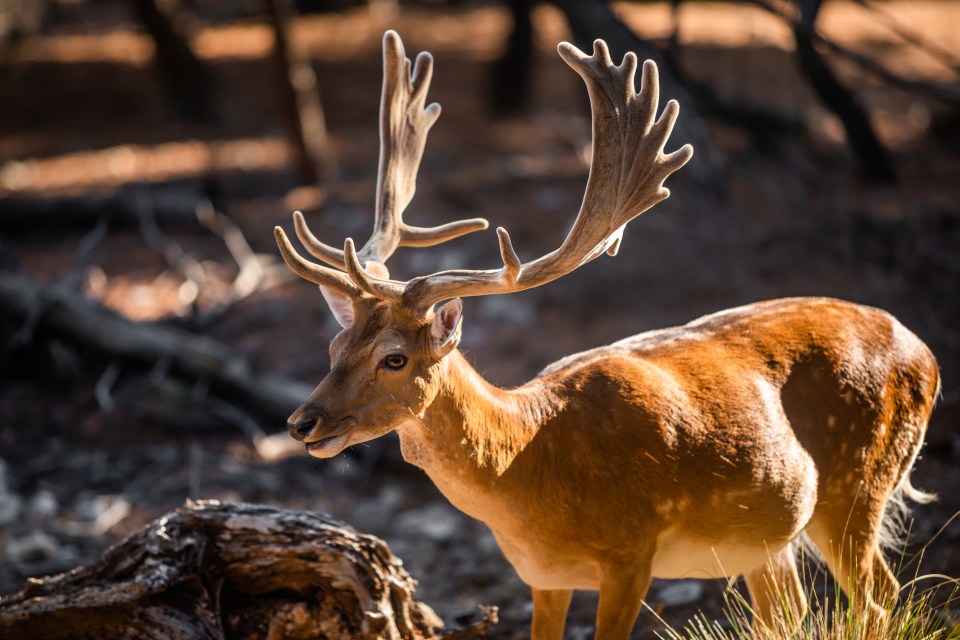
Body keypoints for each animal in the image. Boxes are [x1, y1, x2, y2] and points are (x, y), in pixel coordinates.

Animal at [270, 31, 936, 640]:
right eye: (334, 347)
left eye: (395, 358)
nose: (301, 422)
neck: (529, 467)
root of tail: (924, 353)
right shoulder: (541, 577)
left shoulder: (630, 553)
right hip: (769, 537)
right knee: (794, 614)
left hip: (858, 481)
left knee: (882, 599)